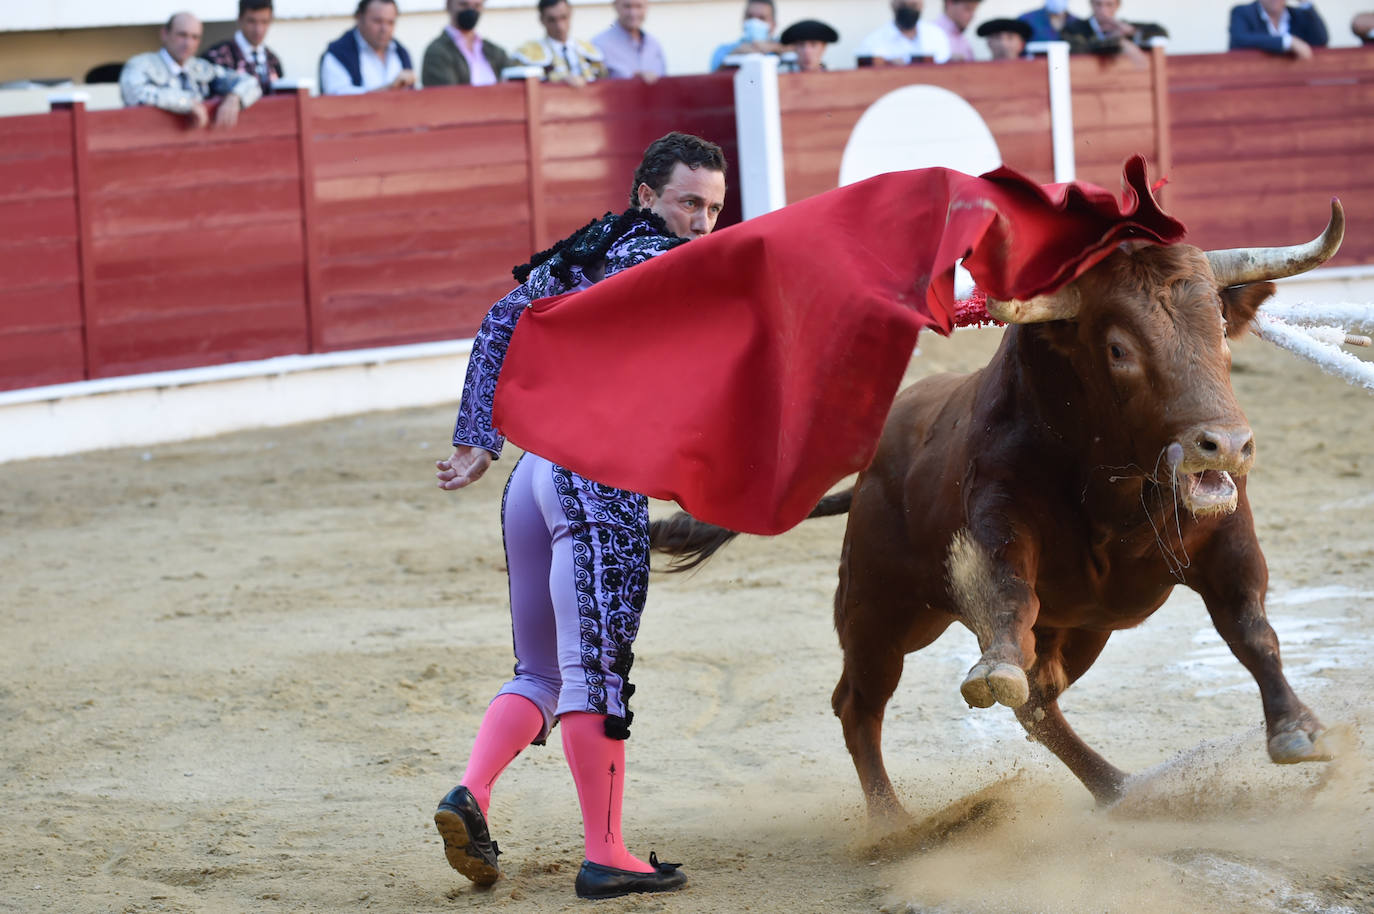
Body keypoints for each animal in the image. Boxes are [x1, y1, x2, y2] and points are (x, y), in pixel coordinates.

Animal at [651, 204, 1341, 813]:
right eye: (1118, 349)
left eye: (1221, 329)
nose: (1224, 444)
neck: (1116, 490)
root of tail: (870, 467)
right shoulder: (998, 518)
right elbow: (1008, 595)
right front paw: (995, 666)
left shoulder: (1227, 536)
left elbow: (1251, 627)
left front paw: (1297, 730)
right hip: (879, 611)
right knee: (859, 704)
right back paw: (895, 825)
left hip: (1079, 628)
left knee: (1040, 701)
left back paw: (1117, 788)